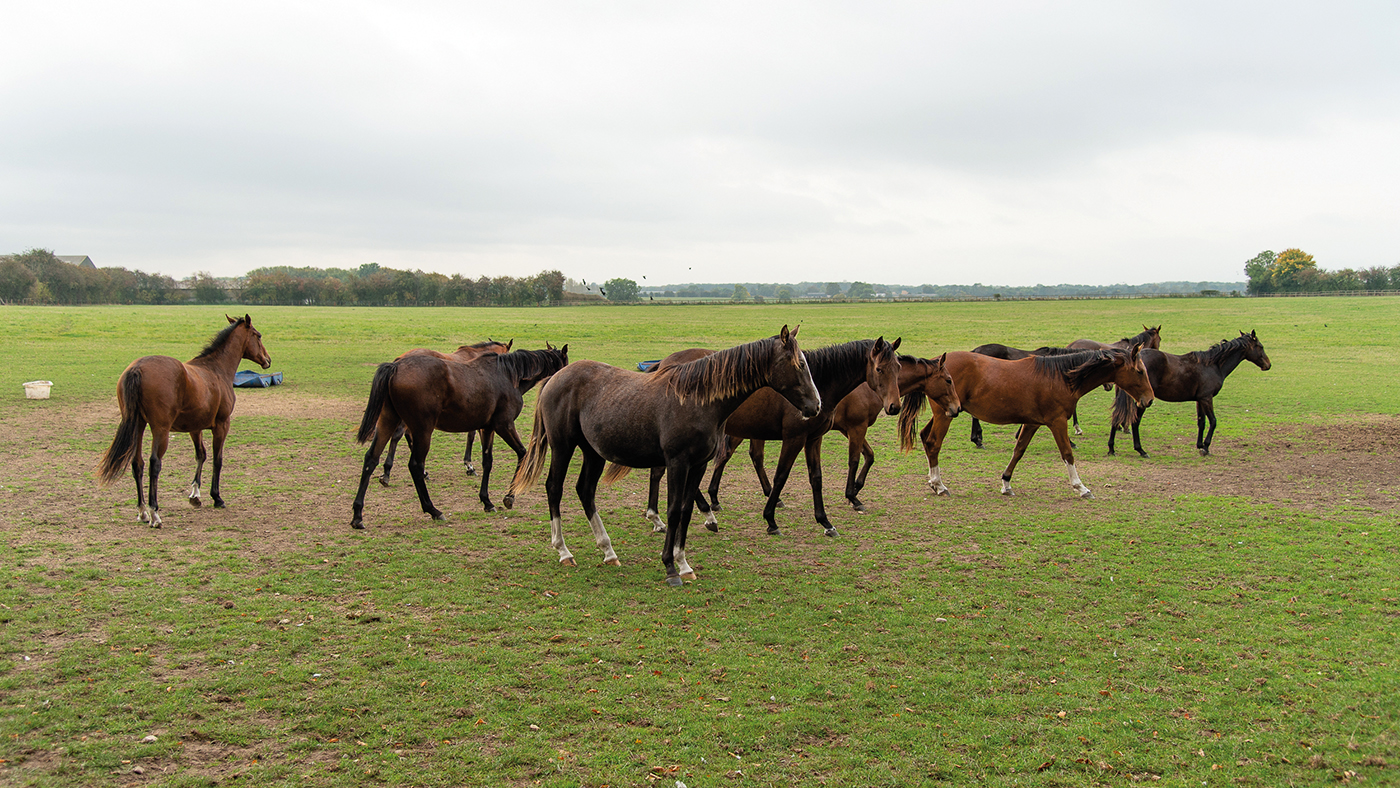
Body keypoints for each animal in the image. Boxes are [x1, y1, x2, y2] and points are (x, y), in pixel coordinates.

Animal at [97, 314, 272, 527]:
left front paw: (195, 495)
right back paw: (154, 513)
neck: (215, 369)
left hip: (138, 426)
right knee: (154, 464)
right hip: (160, 430)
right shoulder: (222, 425)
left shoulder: (194, 428)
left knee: (137, 463)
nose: (267, 359)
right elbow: (217, 459)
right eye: (258, 335)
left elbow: (201, 455)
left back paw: (143, 511)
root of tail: (137, 368)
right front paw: (216, 497)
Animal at [507, 326, 820, 586]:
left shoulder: (698, 465)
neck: (697, 400)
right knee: (554, 488)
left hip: (593, 452)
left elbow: (686, 510)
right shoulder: (677, 463)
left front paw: (684, 564)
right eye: (800, 364)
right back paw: (563, 551)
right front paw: (670, 567)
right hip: (563, 447)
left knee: (585, 491)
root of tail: (556, 377)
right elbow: (672, 511)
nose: (816, 406)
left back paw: (608, 551)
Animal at [627, 338, 901, 538]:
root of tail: (663, 365)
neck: (819, 382)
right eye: (879, 369)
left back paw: (662, 517)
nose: (894, 406)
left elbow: (816, 478)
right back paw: (697, 514)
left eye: (898, 368)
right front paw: (771, 519)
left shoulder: (814, 439)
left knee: (661, 472)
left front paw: (825, 522)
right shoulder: (794, 438)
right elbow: (781, 475)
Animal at [898, 346, 1153, 499]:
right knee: (933, 443)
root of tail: (935, 363)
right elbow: (1067, 454)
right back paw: (939, 485)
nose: (1149, 400)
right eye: (1140, 372)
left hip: (945, 413)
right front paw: (1081, 487)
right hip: (945, 414)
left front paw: (1006, 483)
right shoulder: (1057, 422)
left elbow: (1018, 451)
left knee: (925, 437)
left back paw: (934, 482)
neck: (1060, 377)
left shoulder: (1033, 423)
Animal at [1109, 330, 1271, 457]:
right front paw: (1206, 447)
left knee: (1117, 417)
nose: (1268, 365)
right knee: (1135, 421)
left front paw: (1200, 445)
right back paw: (1140, 450)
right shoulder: (1207, 398)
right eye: (1261, 347)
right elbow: (1213, 421)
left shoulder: (1200, 399)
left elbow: (1201, 422)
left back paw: (1111, 448)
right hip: (1143, 401)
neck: (1213, 365)